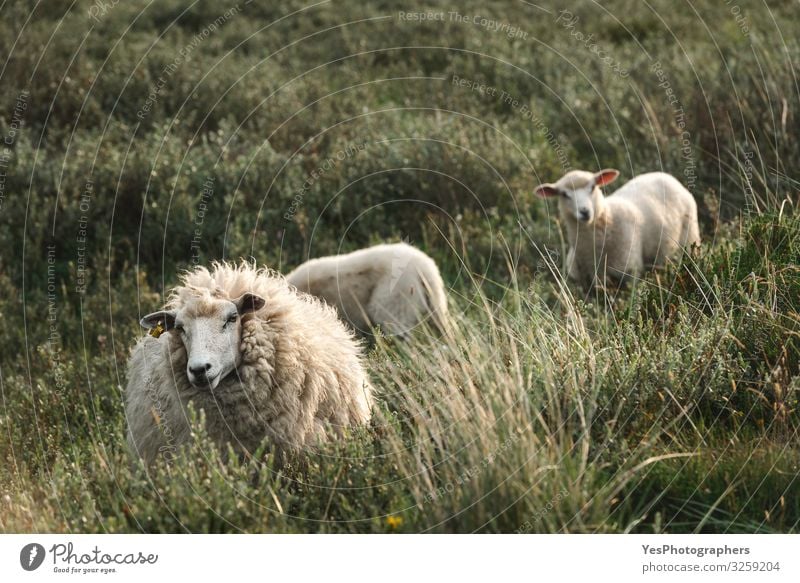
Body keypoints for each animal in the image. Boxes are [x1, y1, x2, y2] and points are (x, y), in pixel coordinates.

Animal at [536, 169, 700, 288]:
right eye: (564, 194)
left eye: (593, 187)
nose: (585, 212)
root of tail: (667, 176)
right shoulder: (583, 282)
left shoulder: (630, 271)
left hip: (690, 236)